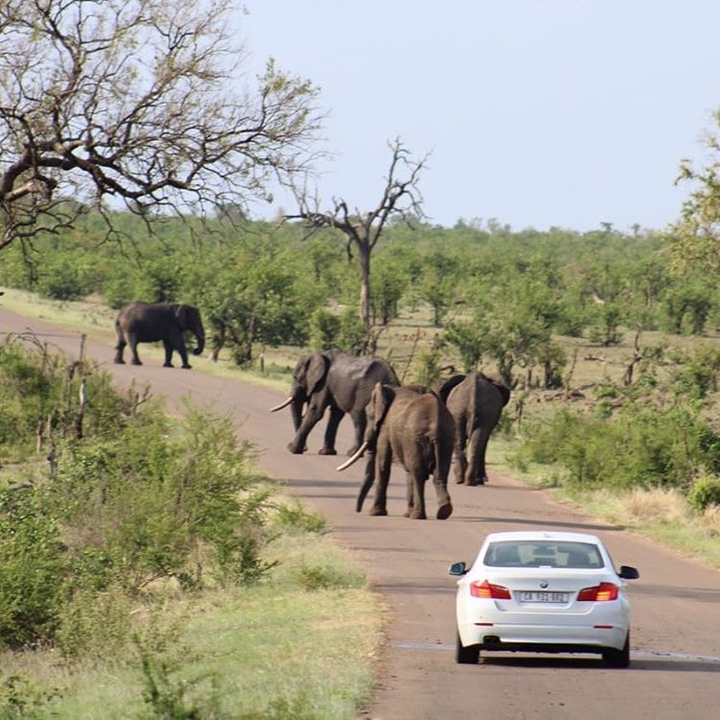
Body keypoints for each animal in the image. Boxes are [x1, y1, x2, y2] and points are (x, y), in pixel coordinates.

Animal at [270, 349, 400, 455]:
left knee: (358, 417)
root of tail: (391, 377)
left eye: (296, 378)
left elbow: (316, 411)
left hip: (366, 392)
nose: (306, 449)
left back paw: (352, 453)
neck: (319, 354)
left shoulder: (323, 384)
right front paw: (326, 453)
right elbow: (336, 415)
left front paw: (292, 450)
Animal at [337, 383, 454, 520]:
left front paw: (375, 513)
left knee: (418, 473)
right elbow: (407, 471)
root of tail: (435, 427)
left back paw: (417, 516)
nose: (358, 511)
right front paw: (406, 514)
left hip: (416, 438)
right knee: (439, 472)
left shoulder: (385, 427)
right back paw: (444, 511)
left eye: (368, 414)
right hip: (445, 440)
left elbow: (383, 465)